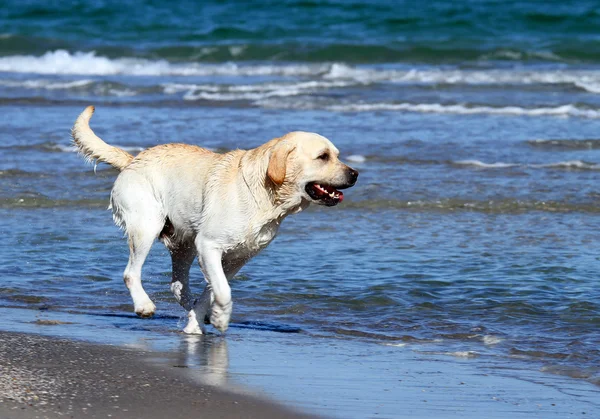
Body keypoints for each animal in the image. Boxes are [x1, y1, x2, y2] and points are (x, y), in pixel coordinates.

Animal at [72, 107, 358, 334]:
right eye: (323, 156)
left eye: (337, 154)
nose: (355, 173)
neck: (264, 194)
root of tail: (134, 159)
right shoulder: (209, 246)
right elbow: (222, 290)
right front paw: (220, 318)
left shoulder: (236, 258)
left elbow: (213, 289)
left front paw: (200, 320)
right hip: (147, 226)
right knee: (131, 273)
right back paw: (144, 305)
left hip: (184, 244)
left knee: (177, 285)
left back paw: (192, 311)